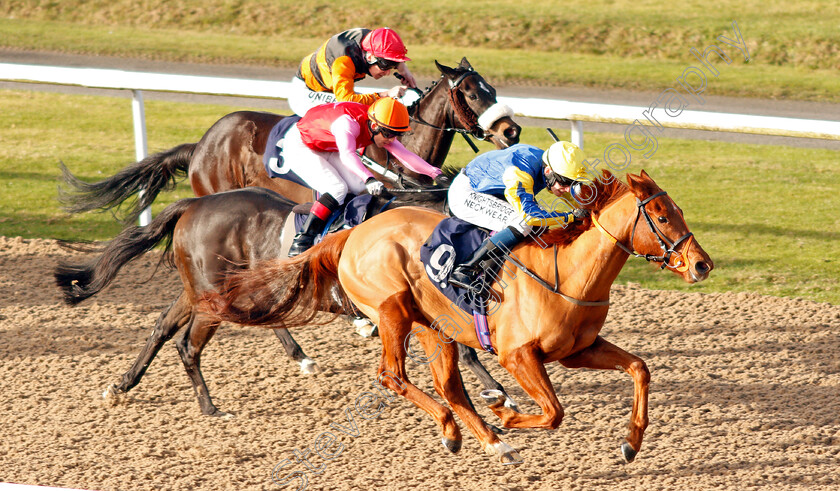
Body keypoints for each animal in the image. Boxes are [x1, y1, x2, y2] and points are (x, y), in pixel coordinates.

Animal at [200, 170, 712, 466]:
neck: (566, 273)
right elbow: (553, 412)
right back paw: (463, 429)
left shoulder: (577, 350)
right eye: (661, 215)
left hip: (434, 328)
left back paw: (489, 440)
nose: (702, 264)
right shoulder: (517, 355)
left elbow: (639, 368)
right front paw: (506, 412)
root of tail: (349, 234)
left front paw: (632, 442)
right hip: (392, 309)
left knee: (448, 385)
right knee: (393, 374)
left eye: (680, 210)